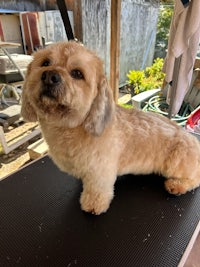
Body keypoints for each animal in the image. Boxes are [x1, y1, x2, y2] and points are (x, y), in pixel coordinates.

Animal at [21, 42, 200, 217]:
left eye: (77, 73)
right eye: (45, 63)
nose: (49, 76)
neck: (69, 128)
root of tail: (194, 141)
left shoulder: (100, 171)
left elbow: (97, 191)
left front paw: (93, 206)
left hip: (176, 162)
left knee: (195, 178)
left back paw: (177, 185)